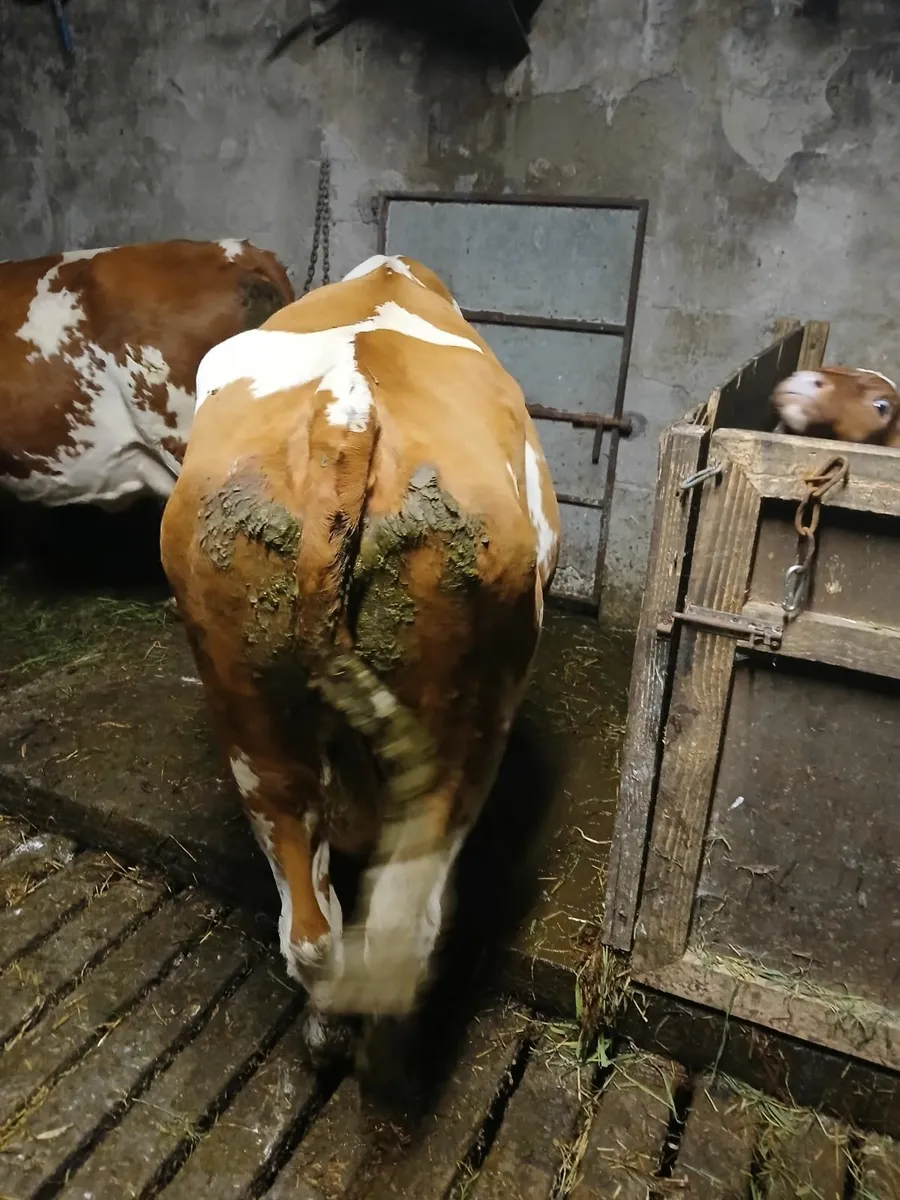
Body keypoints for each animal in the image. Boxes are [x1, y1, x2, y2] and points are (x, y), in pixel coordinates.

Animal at [159, 253, 561, 1063]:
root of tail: (345, 417)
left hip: (249, 713)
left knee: (312, 922)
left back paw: (323, 1031)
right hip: (461, 731)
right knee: (405, 923)